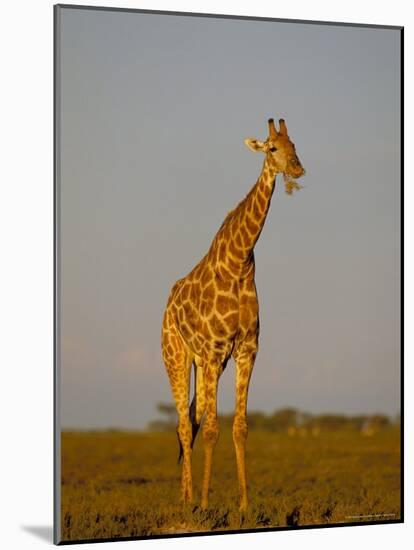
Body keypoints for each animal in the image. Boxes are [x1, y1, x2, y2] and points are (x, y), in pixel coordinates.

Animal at [161, 116, 304, 512]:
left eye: (295, 145)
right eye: (273, 148)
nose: (297, 168)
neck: (239, 263)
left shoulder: (245, 350)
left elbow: (239, 427)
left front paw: (244, 505)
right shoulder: (213, 351)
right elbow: (213, 429)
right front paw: (207, 504)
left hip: (207, 363)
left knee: (190, 422)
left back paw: (185, 496)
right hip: (177, 356)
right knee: (185, 424)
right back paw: (188, 502)